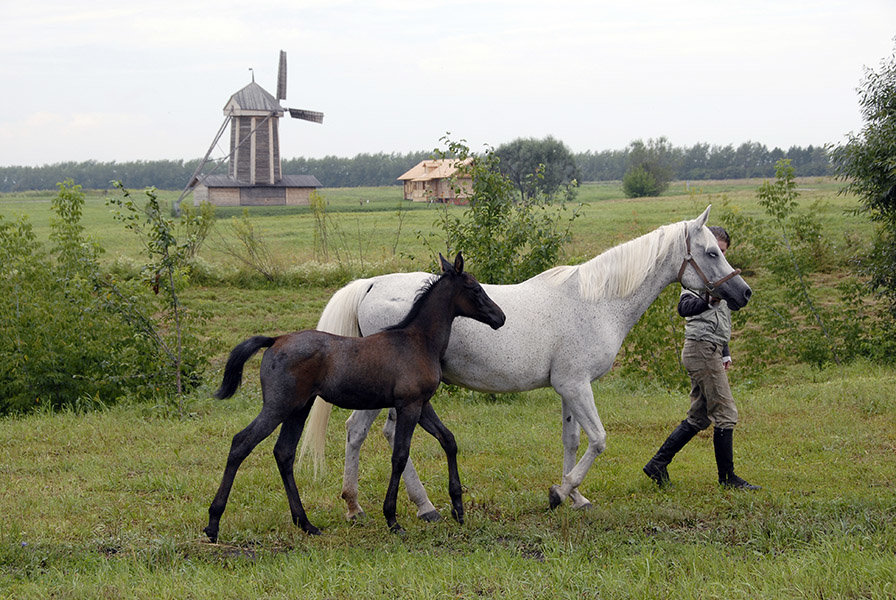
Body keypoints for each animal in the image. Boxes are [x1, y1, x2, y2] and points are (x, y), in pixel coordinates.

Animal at [300, 207, 748, 520]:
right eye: (711, 252)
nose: (743, 293)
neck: (595, 302)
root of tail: (370, 284)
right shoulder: (576, 385)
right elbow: (599, 439)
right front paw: (559, 493)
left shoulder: (569, 387)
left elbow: (573, 440)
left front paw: (576, 496)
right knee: (384, 435)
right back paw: (420, 506)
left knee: (360, 433)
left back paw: (358, 506)